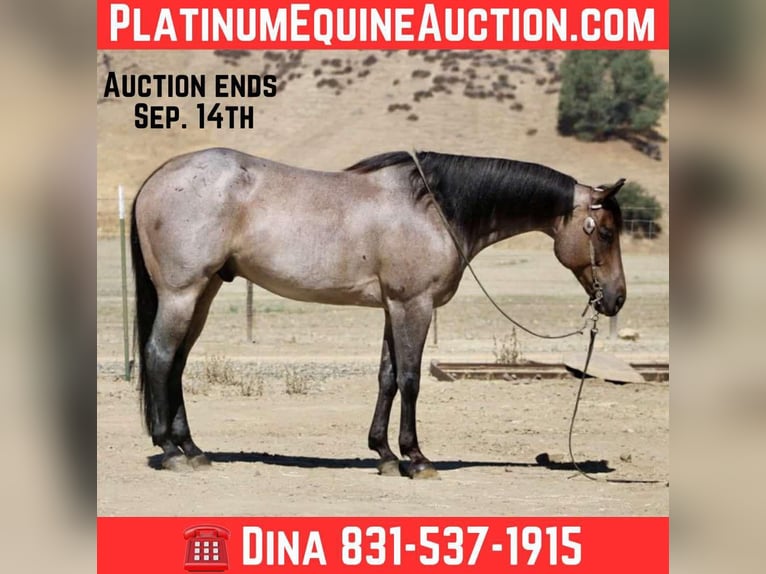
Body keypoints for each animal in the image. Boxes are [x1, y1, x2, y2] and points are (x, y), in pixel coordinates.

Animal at [131, 148, 626, 478]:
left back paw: (192, 448)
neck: (434, 208)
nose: (617, 299)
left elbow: (387, 377)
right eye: (604, 231)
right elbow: (411, 379)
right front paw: (416, 458)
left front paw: (384, 454)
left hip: (205, 292)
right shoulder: (414, 306)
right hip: (182, 293)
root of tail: (158, 176)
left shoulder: (394, 308)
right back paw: (171, 451)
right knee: (159, 356)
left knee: (177, 362)